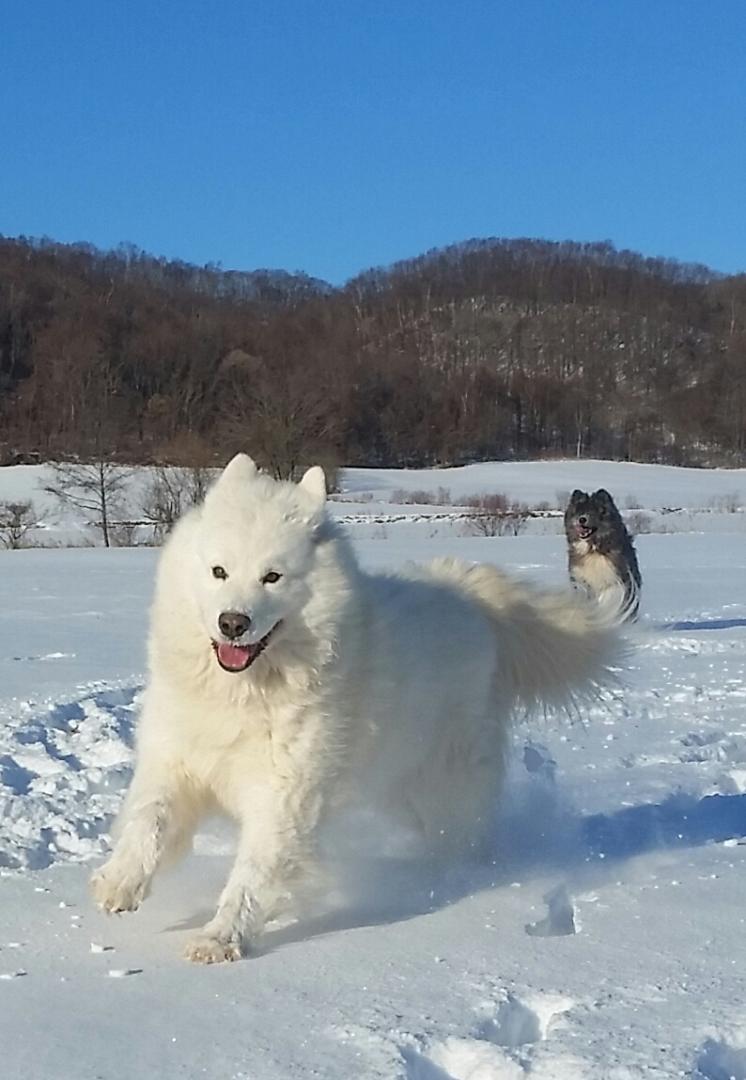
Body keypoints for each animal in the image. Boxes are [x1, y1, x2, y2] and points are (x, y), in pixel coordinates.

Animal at [90, 455, 621, 963]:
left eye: (272, 577)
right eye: (218, 571)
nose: (233, 622)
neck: (242, 693)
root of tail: (477, 600)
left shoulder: (284, 796)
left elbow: (252, 874)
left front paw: (221, 938)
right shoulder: (174, 762)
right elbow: (148, 825)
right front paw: (118, 883)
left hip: (443, 782)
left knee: (466, 835)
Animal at [565, 488, 643, 622]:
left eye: (593, 511)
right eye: (578, 510)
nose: (581, 519)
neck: (593, 550)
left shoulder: (617, 578)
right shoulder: (580, 579)